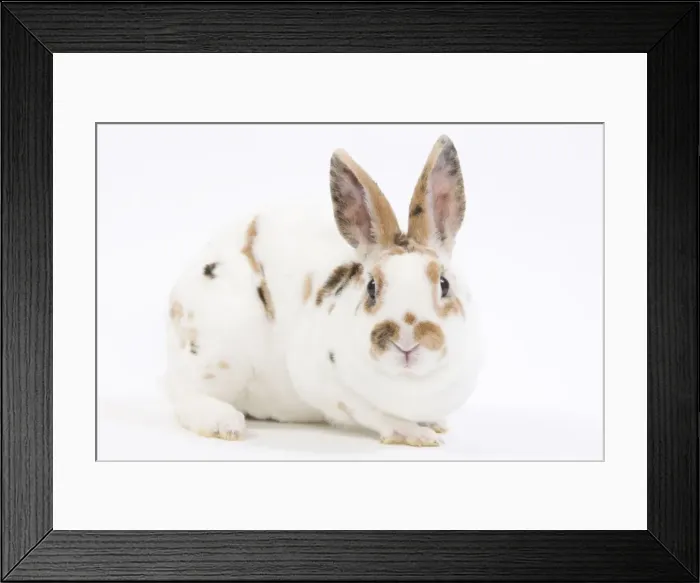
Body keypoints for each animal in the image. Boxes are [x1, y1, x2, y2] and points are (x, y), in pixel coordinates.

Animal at [164, 134, 483, 447]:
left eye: (444, 284)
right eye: (371, 287)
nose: (406, 340)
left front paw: (435, 424)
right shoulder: (328, 386)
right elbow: (373, 414)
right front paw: (417, 435)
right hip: (219, 352)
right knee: (184, 391)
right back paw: (224, 423)